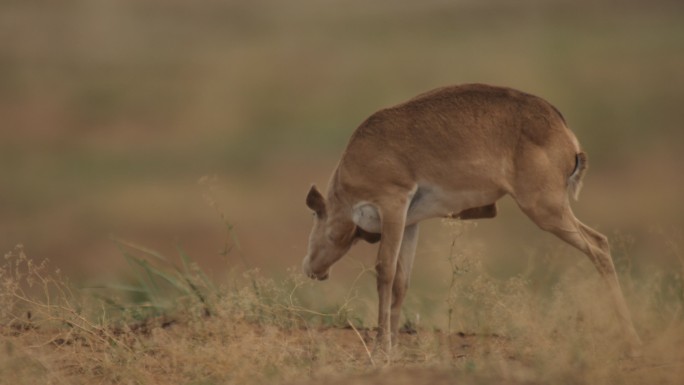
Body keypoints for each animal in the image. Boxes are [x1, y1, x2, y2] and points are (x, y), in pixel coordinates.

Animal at [302, 84, 644, 356]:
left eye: (318, 219)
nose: (310, 268)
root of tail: (561, 126)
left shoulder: (393, 207)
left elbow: (384, 272)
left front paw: (381, 345)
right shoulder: (411, 223)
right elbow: (402, 281)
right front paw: (394, 343)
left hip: (546, 211)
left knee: (598, 245)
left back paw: (631, 338)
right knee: (600, 244)